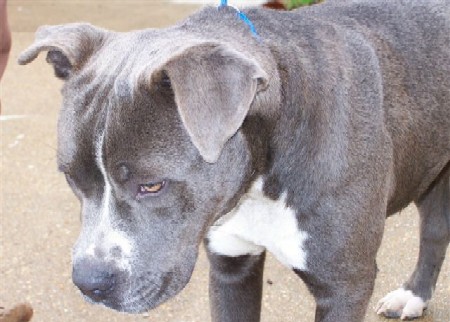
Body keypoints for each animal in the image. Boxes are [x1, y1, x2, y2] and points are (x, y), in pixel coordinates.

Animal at [18, 0, 450, 320]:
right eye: (71, 179)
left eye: (152, 185)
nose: (88, 282)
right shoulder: (231, 266)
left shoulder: (344, 285)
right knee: (434, 233)